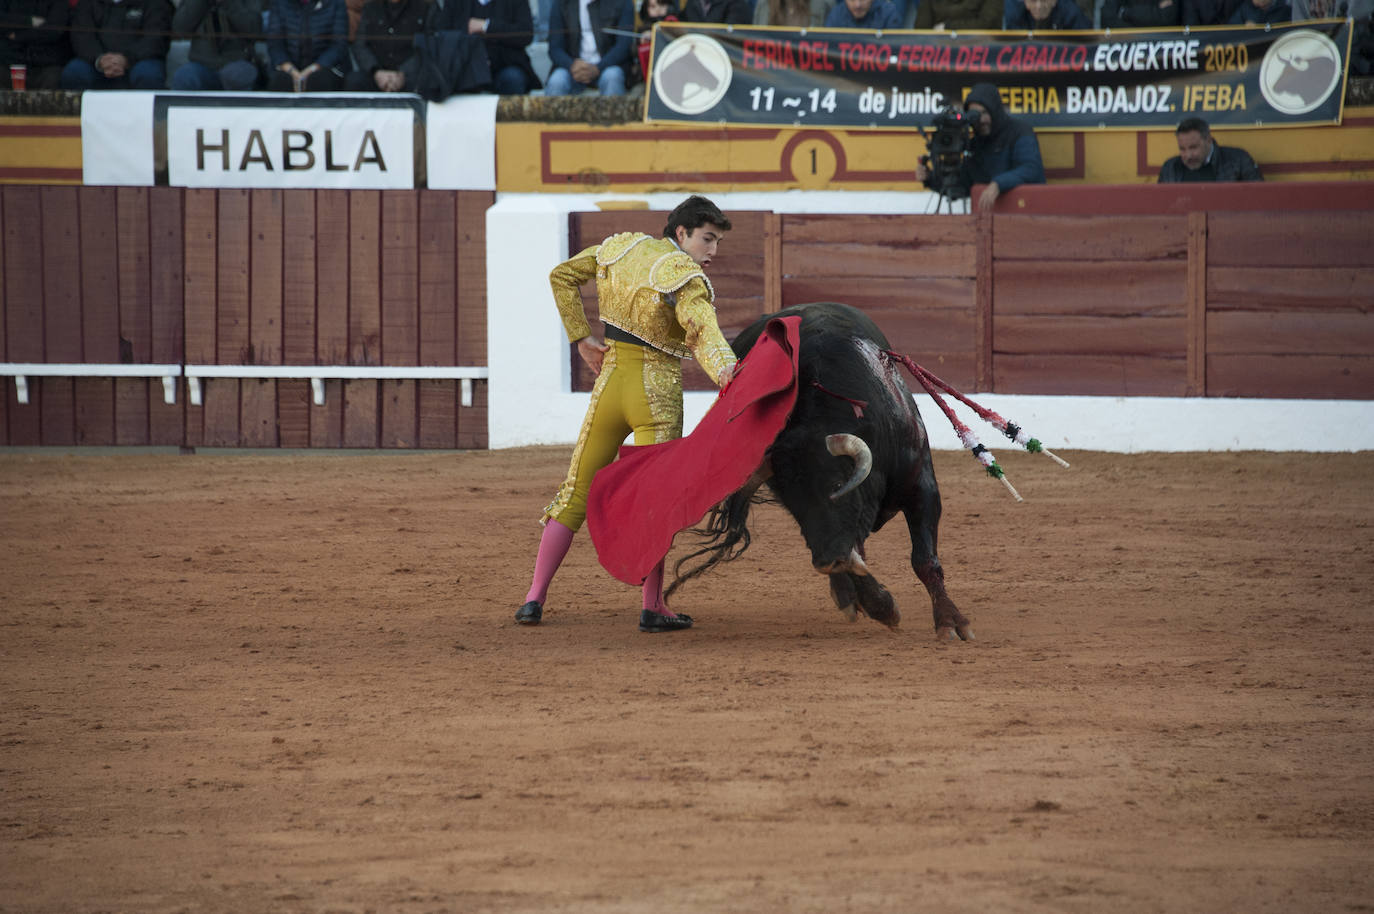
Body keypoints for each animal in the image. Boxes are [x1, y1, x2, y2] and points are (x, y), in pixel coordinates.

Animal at [667, 302, 972, 637]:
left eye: (838, 485)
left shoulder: (921, 484)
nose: (827, 562)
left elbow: (924, 559)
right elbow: (854, 555)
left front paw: (951, 622)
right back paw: (847, 595)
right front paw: (881, 606)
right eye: (793, 504)